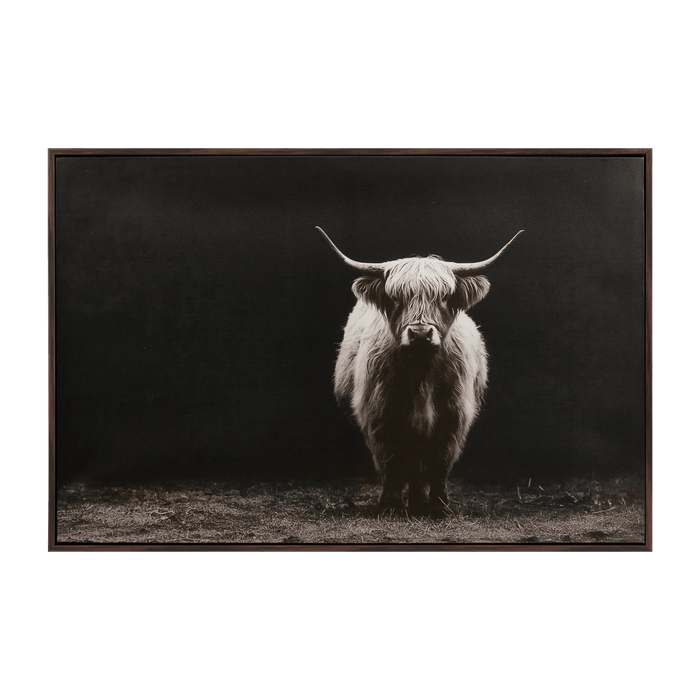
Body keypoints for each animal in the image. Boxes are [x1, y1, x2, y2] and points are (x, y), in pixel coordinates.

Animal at [317, 225, 524, 518]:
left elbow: (439, 462)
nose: (420, 334)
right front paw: (390, 505)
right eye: (396, 298)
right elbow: (390, 463)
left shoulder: (453, 416)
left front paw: (438, 506)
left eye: (444, 297)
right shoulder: (379, 414)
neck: (421, 373)